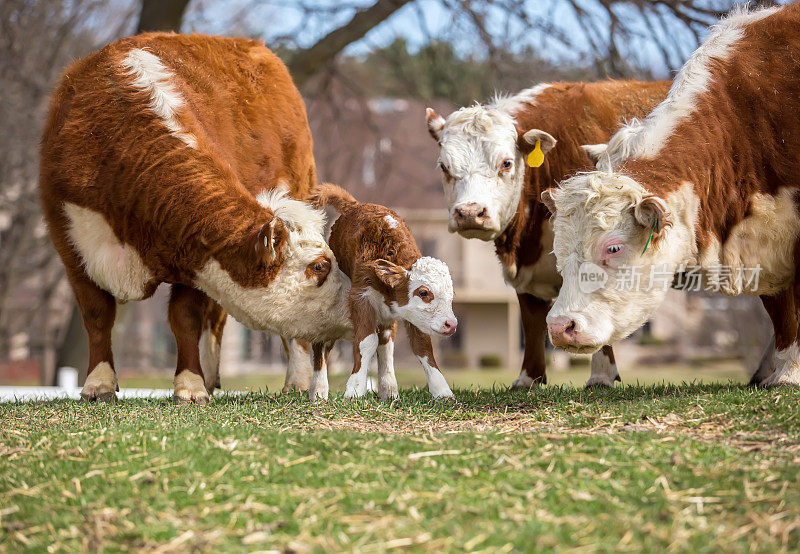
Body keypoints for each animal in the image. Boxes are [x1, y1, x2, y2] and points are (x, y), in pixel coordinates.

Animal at [40, 35, 352, 406]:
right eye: (320, 266)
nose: (353, 302)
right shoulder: (72, 248)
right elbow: (97, 314)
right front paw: (99, 384)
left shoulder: (197, 255)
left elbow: (185, 318)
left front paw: (189, 385)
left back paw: (295, 381)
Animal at [310, 183, 456, 398]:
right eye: (423, 292)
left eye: (450, 296)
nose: (451, 324)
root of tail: (355, 205)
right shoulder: (360, 297)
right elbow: (366, 341)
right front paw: (355, 389)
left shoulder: (410, 314)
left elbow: (422, 346)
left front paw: (442, 391)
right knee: (323, 344)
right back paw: (318, 392)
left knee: (386, 342)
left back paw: (388, 390)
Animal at [424, 80, 668, 386]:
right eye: (444, 167)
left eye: (506, 163)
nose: (469, 212)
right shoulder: (527, 275)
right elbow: (531, 323)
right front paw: (528, 378)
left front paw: (601, 375)